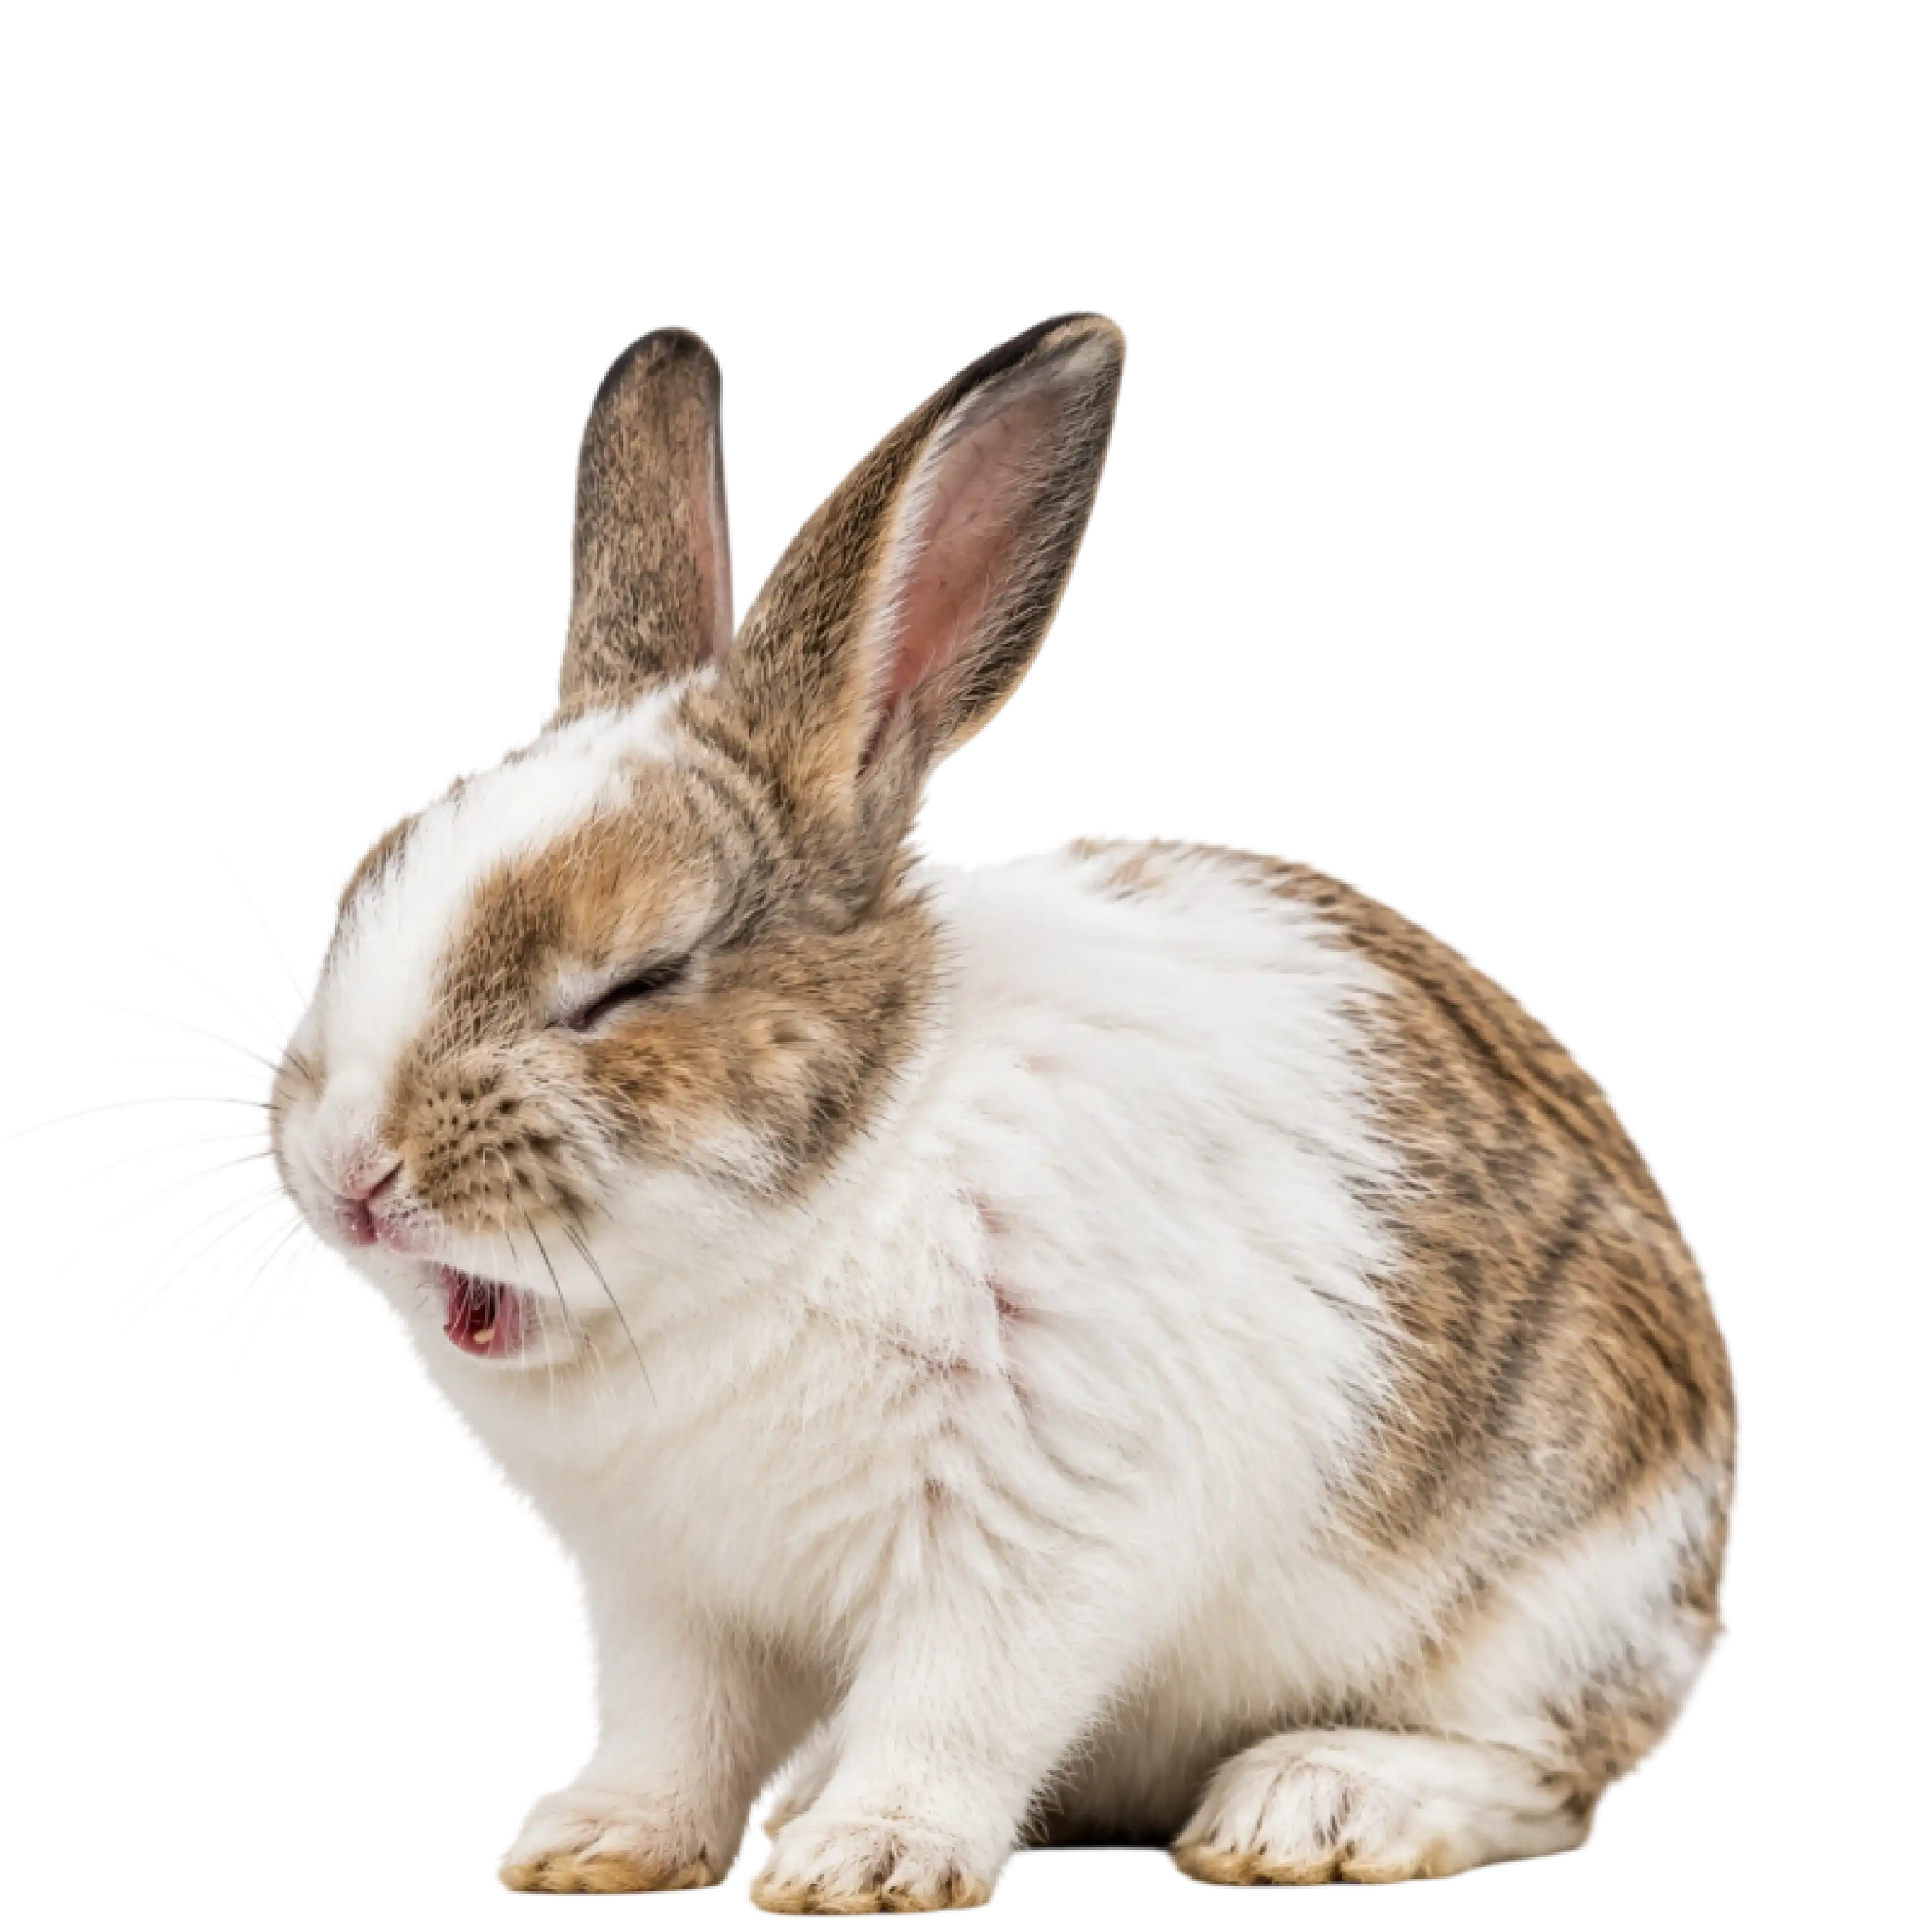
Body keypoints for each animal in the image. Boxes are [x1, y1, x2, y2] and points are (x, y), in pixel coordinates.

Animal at [262, 314, 1739, 1912]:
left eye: (633, 981)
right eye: (359, 887)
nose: (351, 1171)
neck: (818, 1213)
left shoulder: (1030, 1537)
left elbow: (955, 1708)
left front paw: (868, 1863)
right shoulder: (664, 1599)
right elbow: (670, 1736)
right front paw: (597, 1849)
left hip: (1555, 1592)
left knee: (1541, 1770)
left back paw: (1315, 1809)